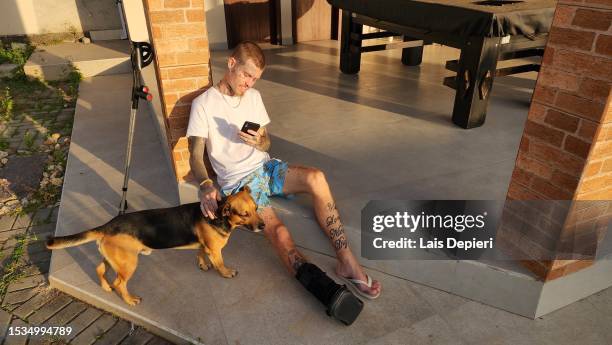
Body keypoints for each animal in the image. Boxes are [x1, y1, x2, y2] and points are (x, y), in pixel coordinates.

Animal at [47, 187, 262, 306]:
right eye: (244, 214)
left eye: (256, 208)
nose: (263, 226)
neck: (219, 215)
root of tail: (107, 226)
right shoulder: (215, 250)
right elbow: (220, 263)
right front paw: (226, 272)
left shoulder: (204, 245)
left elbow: (201, 253)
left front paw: (202, 264)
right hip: (128, 263)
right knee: (119, 283)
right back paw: (129, 300)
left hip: (114, 259)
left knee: (100, 269)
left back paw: (106, 287)